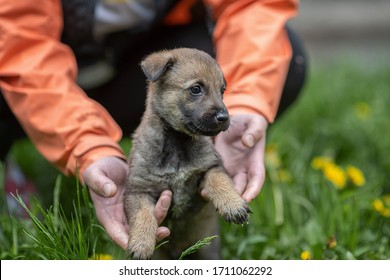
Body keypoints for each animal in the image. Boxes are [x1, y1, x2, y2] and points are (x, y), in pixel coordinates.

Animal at [125, 48, 253, 260]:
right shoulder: (138, 189)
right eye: (196, 89)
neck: (179, 142)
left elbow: (220, 181)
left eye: (222, 91)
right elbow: (142, 215)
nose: (224, 118)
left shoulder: (211, 167)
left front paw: (233, 205)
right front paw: (141, 243)